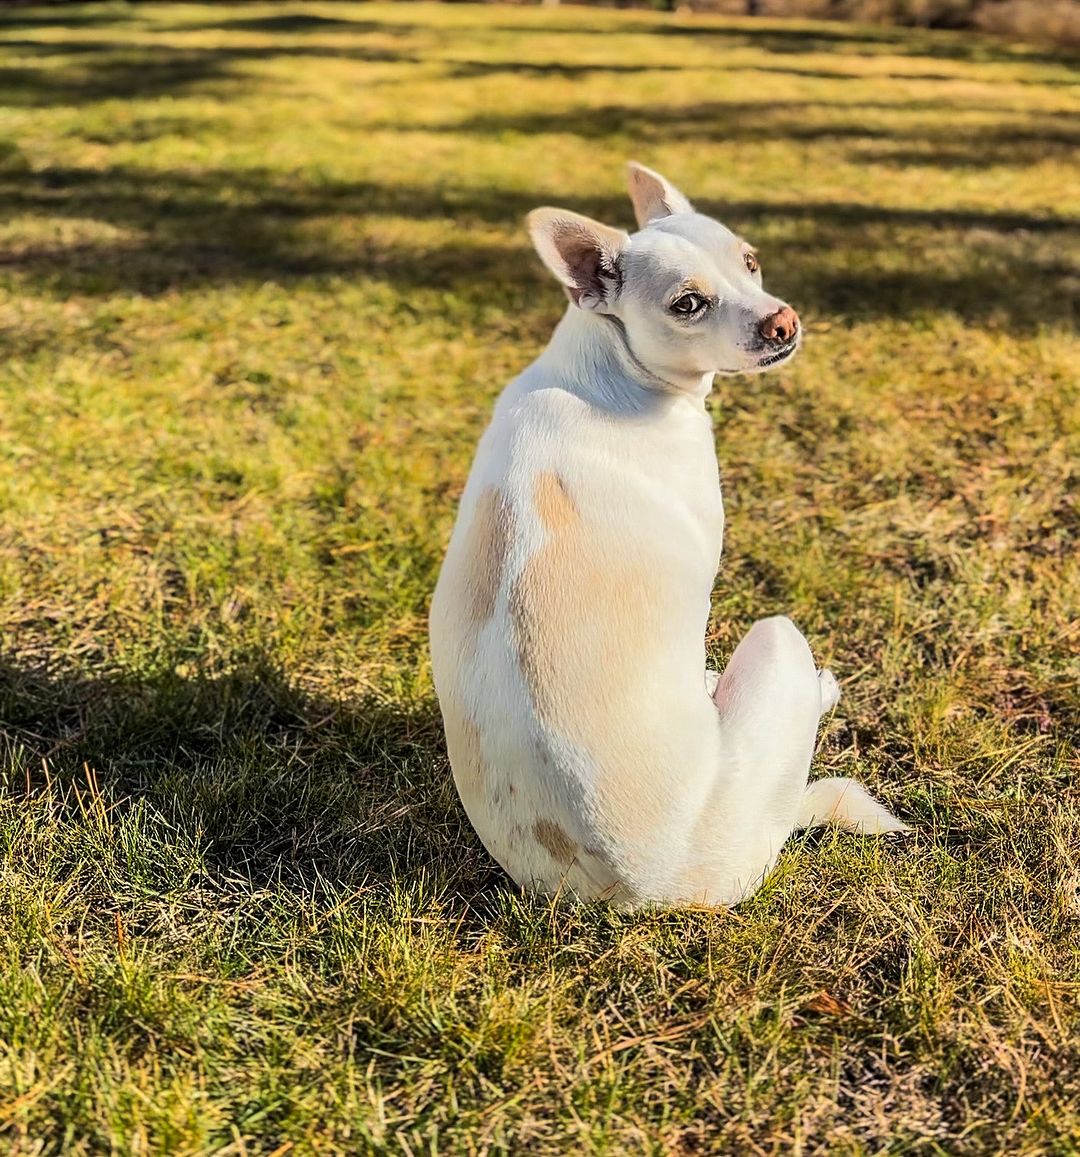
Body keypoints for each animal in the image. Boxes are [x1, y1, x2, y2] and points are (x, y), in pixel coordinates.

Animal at [425, 163, 907, 907]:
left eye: (751, 261)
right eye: (688, 304)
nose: (782, 320)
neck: (608, 368)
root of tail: (659, 889)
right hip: (777, 639)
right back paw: (816, 693)